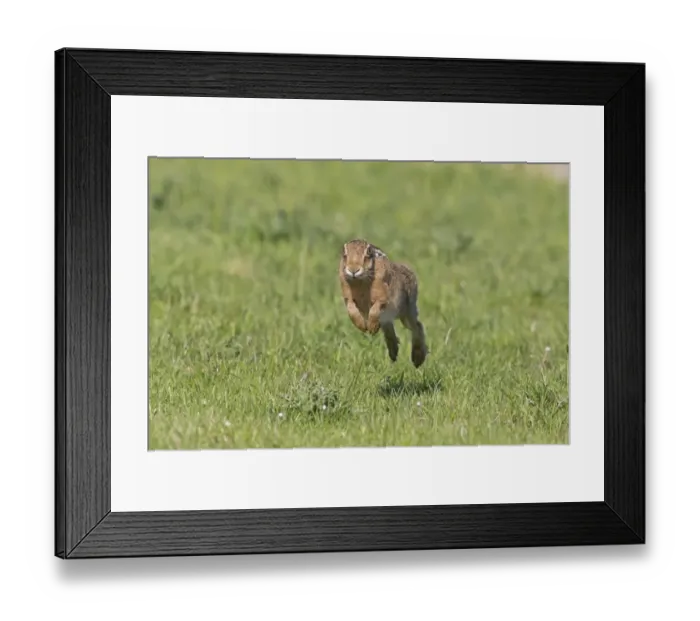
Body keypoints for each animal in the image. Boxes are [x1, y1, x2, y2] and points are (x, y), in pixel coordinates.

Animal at [339, 239, 428, 368]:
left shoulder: (382, 299)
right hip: (389, 318)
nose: (353, 270)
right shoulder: (349, 299)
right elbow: (352, 311)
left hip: (407, 311)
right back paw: (393, 353)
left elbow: (374, 310)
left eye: (368, 253)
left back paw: (417, 359)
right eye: (344, 254)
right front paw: (362, 327)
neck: (361, 280)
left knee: (417, 326)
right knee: (390, 330)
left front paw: (371, 328)